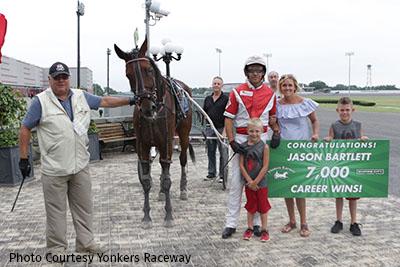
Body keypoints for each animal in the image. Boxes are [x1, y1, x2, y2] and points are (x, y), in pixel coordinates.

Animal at [114, 40, 195, 229]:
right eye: (128, 75)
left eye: (149, 70)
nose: (146, 107)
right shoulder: (142, 145)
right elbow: (146, 180)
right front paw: (146, 217)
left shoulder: (166, 142)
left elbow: (167, 179)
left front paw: (168, 215)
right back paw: (160, 192)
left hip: (183, 134)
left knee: (182, 159)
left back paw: (183, 188)